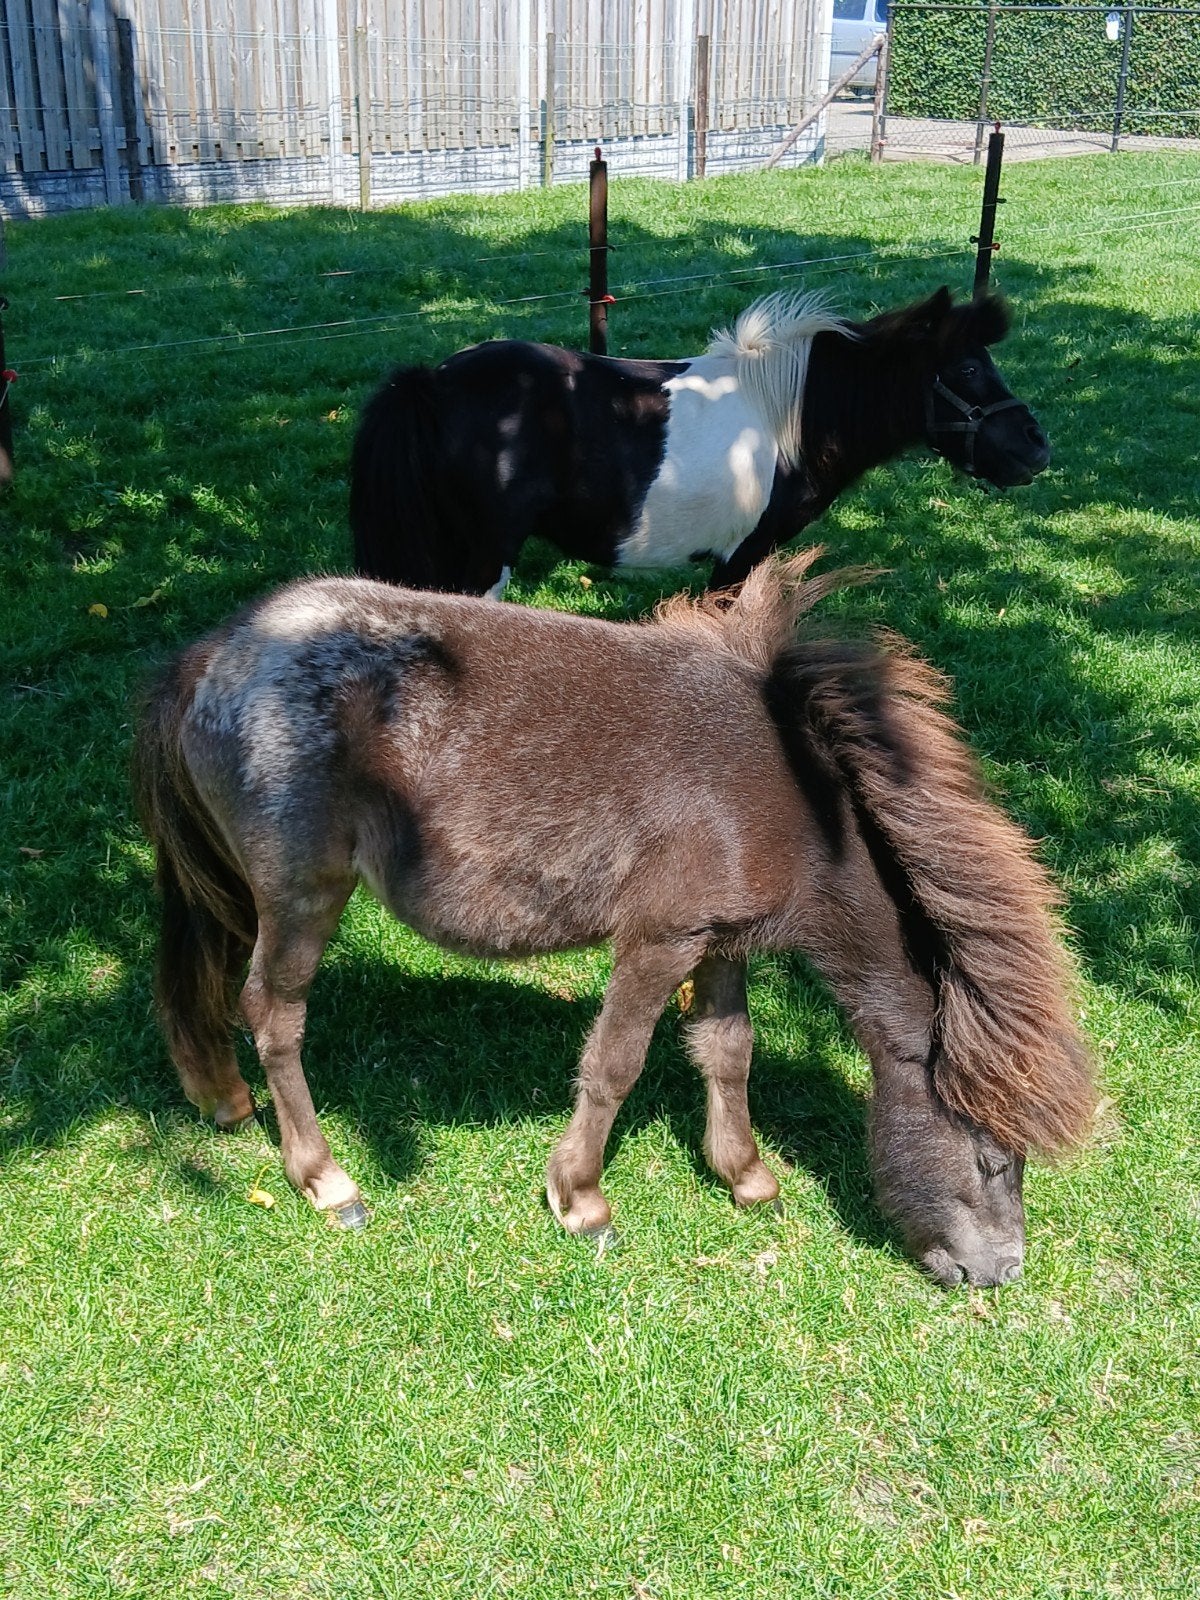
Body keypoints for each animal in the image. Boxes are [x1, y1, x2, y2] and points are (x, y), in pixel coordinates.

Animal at [133, 549, 1092, 1287]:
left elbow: (727, 1050)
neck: (790, 795)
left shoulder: (721, 941)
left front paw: (746, 1174)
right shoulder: (661, 940)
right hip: (305, 894)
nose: (1000, 1273)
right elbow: (614, 1065)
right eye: (992, 1159)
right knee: (273, 1014)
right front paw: (582, 1199)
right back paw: (326, 1178)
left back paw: (221, 1098)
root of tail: (216, 651)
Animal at [349, 286, 1051, 596]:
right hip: (484, 558)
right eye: (967, 369)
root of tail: (432, 385)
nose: (1036, 446)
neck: (790, 418)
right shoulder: (741, 558)